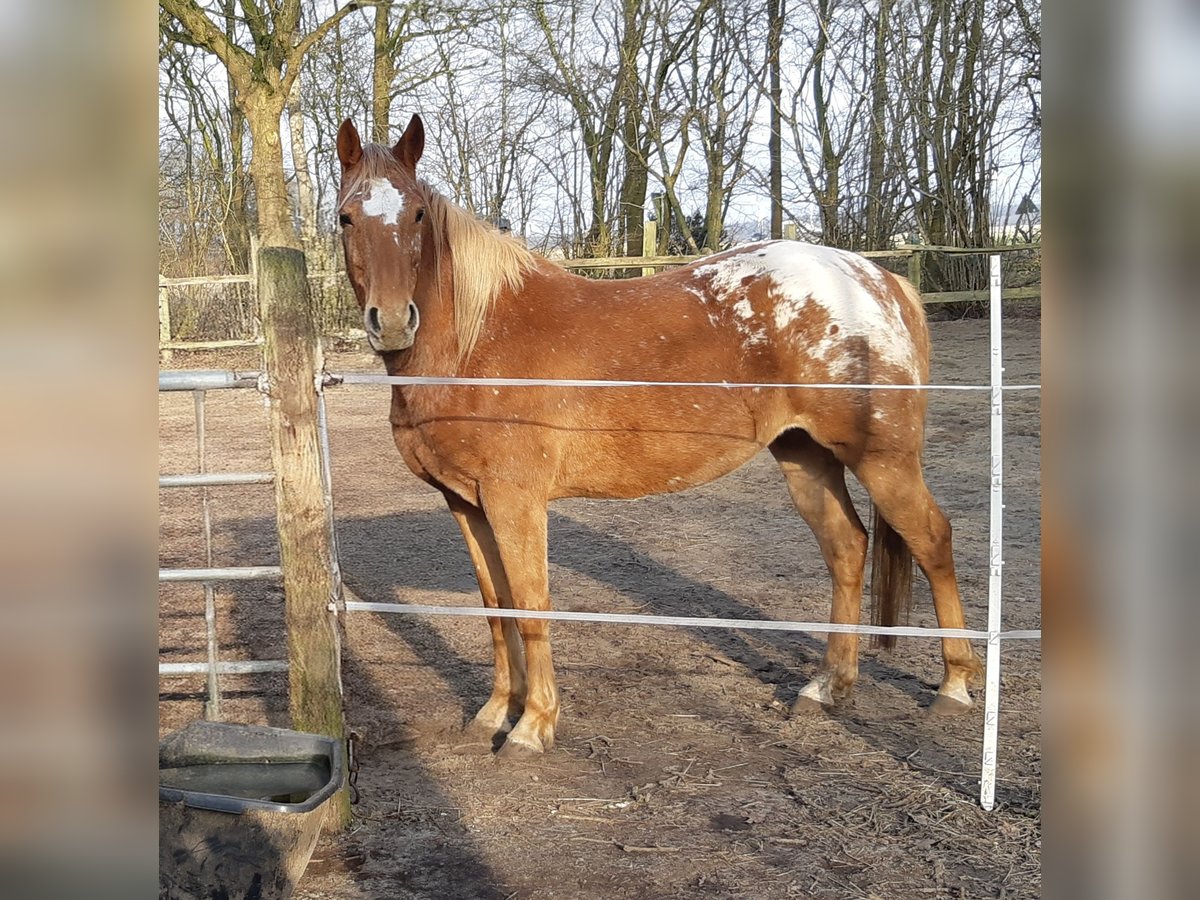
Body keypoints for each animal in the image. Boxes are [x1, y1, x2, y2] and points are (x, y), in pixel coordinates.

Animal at [333, 114, 979, 763]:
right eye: (345, 217)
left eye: (418, 214)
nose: (393, 322)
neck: (477, 338)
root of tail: (880, 280)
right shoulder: (466, 502)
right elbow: (497, 608)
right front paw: (495, 711)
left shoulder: (515, 502)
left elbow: (532, 605)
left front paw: (533, 726)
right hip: (805, 456)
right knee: (847, 547)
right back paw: (827, 687)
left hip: (883, 460)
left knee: (932, 539)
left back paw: (955, 687)